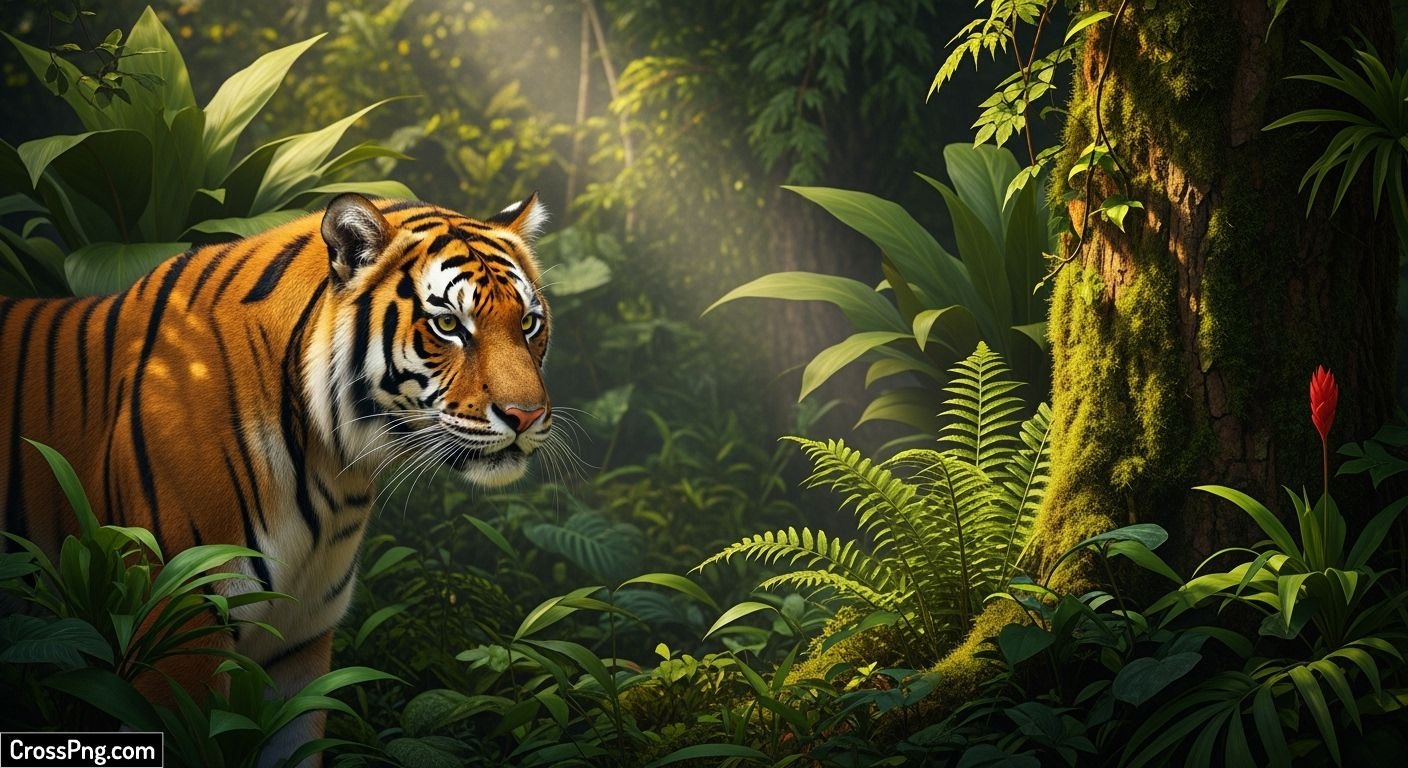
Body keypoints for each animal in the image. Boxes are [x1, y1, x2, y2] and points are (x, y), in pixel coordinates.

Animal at [0, 192, 553, 764]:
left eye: (529, 323)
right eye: (448, 324)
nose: (527, 415)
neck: (332, 470)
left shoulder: (299, 641)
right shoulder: (177, 623)